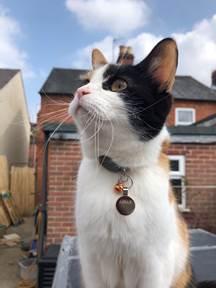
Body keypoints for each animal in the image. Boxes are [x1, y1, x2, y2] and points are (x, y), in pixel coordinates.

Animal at [69, 38, 191, 288]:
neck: (119, 168)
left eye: (119, 85)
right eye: (86, 81)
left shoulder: (154, 266)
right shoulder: (91, 261)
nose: (79, 91)